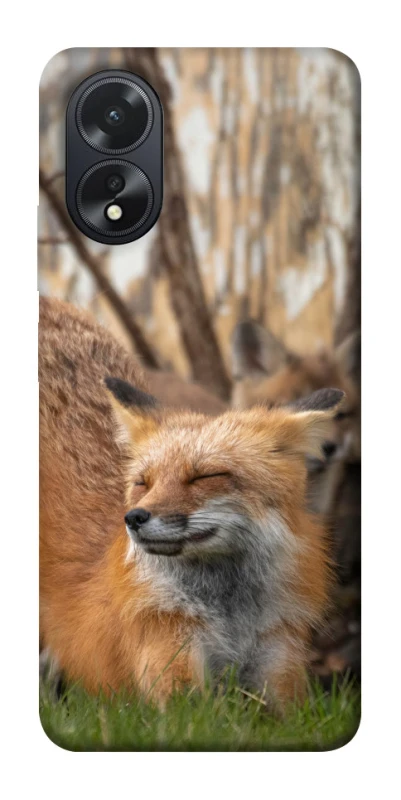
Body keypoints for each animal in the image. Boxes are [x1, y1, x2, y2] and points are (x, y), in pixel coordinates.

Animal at [40, 297, 344, 709]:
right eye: (143, 483)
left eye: (204, 476)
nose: (134, 518)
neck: (229, 616)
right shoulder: (170, 662)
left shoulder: (279, 664)